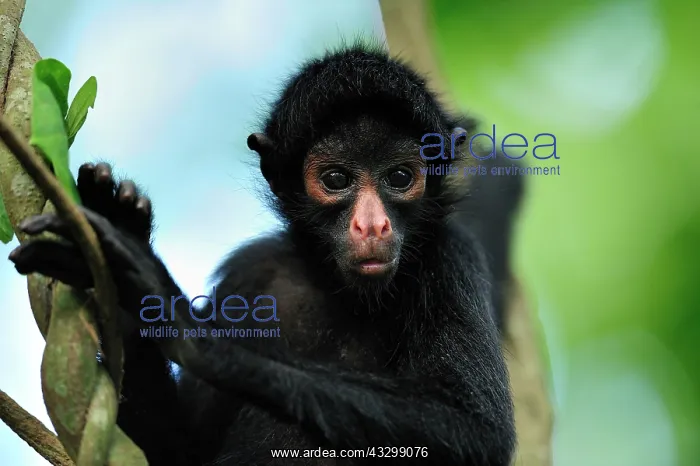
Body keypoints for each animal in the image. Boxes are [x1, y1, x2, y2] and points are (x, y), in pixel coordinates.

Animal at [8, 42, 524, 465]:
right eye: (336, 180)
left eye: (399, 177)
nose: (372, 225)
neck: (342, 294)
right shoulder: (250, 273)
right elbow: (177, 454)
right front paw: (117, 264)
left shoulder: (452, 257)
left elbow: (477, 431)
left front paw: (188, 326)